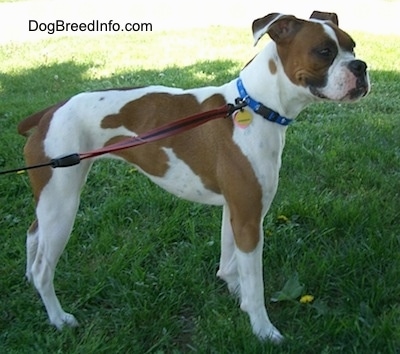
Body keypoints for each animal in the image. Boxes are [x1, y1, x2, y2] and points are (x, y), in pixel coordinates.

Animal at [18, 11, 368, 342]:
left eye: (352, 46)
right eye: (324, 51)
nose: (361, 66)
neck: (254, 105)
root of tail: (50, 111)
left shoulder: (236, 211)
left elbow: (231, 264)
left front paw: (237, 297)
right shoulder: (249, 217)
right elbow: (255, 283)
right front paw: (263, 329)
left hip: (50, 200)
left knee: (33, 236)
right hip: (62, 206)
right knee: (44, 268)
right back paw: (59, 318)